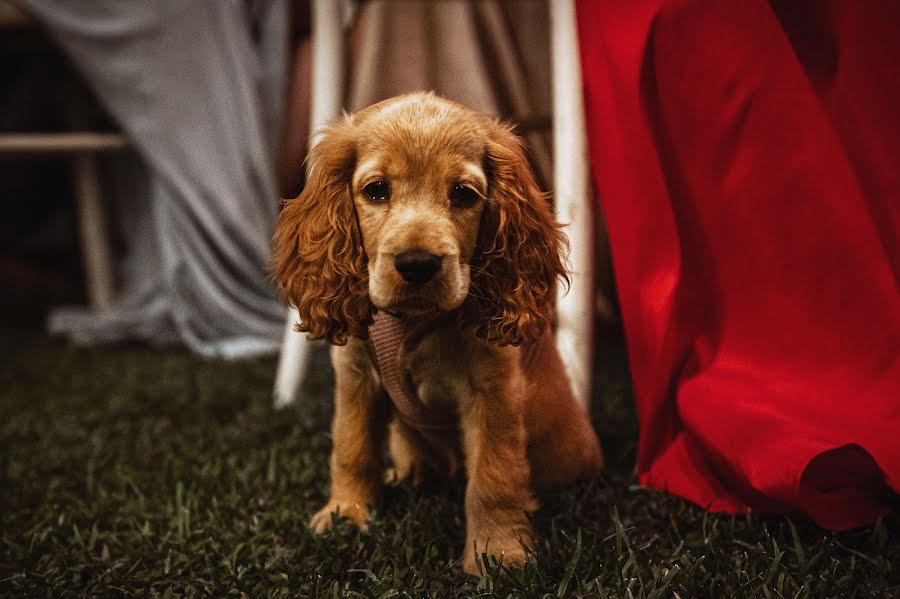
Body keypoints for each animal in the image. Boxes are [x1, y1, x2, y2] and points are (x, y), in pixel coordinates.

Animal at [270, 91, 600, 576]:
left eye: (462, 194)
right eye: (376, 190)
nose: (417, 264)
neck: (410, 322)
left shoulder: (492, 390)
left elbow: (494, 477)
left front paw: (498, 553)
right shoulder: (355, 376)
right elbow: (351, 448)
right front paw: (345, 514)